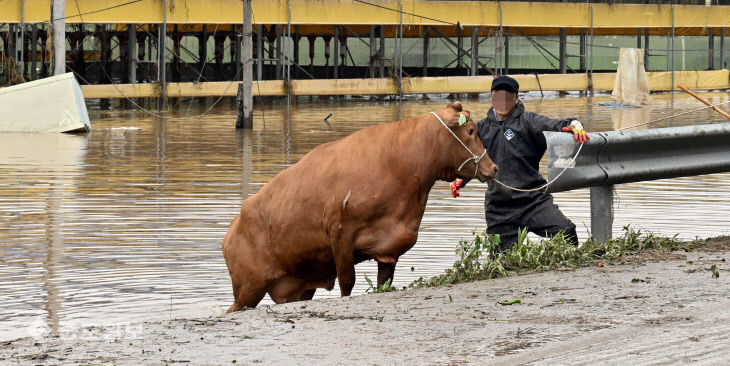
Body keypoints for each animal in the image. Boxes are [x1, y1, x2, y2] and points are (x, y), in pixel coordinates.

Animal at [222, 102, 494, 312]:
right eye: (471, 130)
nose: (493, 168)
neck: (401, 163)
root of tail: (234, 226)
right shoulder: (341, 233)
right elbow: (347, 283)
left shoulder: (389, 247)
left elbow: (384, 283)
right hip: (247, 290)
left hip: (297, 288)